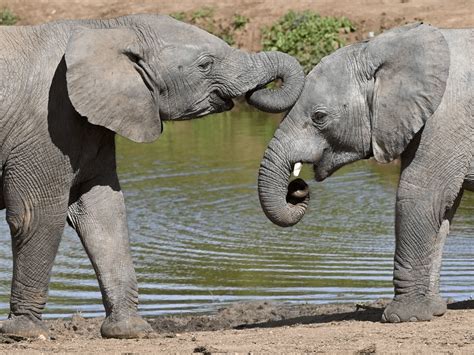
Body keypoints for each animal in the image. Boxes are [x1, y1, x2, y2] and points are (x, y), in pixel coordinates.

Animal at [0, 14, 304, 340]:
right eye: (205, 64)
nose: (296, 189)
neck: (104, 29)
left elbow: (103, 215)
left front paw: (129, 330)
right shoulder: (45, 127)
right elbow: (36, 216)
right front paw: (24, 331)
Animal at [258, 23, 472, 326]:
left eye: (319, 117)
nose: (297, 187)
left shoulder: (446, 118)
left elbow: (420, 195)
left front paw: (404, 318)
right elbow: (443, 211)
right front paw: (433, 311)